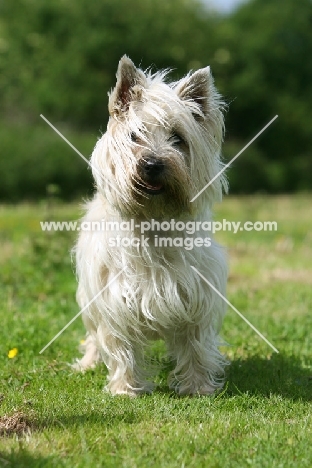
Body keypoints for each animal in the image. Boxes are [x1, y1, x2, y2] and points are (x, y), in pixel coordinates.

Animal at [73, 56, 229, 396]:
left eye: (178, 139)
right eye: (135, 135)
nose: (153, 164)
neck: (153, 217)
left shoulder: (196, 297)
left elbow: (196, 345)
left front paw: (198, 387)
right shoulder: (113, 300)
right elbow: (120, 347)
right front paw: (125, 389)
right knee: (92, 334)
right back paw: (87, 363)